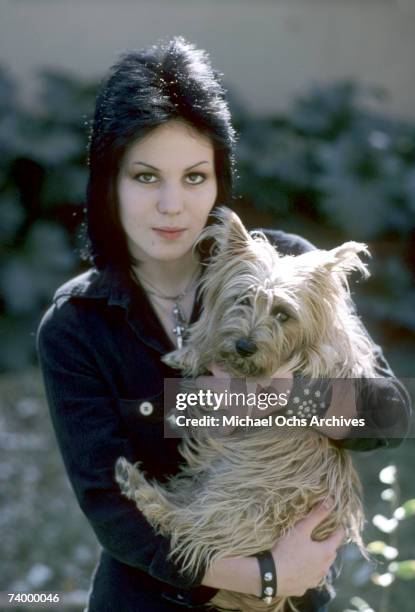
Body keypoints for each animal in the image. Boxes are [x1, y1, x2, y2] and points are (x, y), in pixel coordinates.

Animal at [114, 208, 376, 608]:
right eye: (242, 300)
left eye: (283, 314)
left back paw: (136, 483)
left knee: (181, 523)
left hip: (243, 507)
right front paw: (190, 352)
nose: (244, 346)